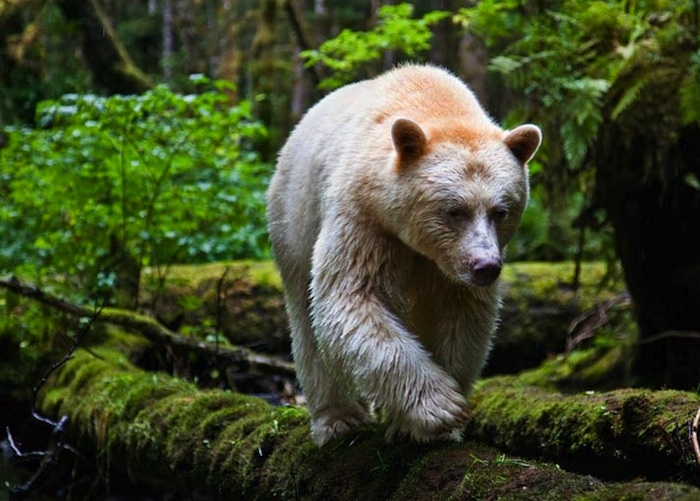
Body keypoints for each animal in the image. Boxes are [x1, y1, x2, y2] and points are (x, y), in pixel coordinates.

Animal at [268, 64, 540, 444]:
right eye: (454, 210)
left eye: (501, 211)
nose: (485, 266)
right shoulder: (365, 219)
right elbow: (352, 297)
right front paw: (440, 407)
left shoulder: (448, 269)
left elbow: (460, 316)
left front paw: (430, 425)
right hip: (294, 220)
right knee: (306, 319)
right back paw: (337, 418)